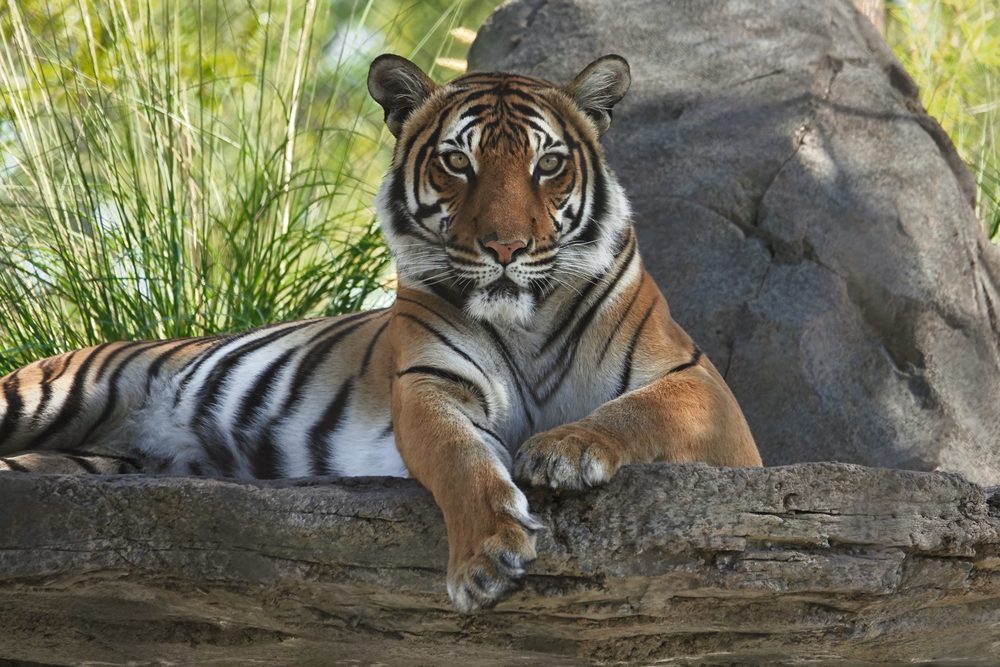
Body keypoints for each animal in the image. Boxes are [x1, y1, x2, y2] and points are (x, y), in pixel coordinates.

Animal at [0, 53, 762, 613]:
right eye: (458, 162)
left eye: (548, 164)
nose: (506, 247)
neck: (527, 319)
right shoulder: (429, 383)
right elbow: (460, 458)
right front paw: (486, 557)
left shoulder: (705, 390)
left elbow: (636, 412)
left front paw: (564, 449)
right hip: (47, 396)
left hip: (89, 462)